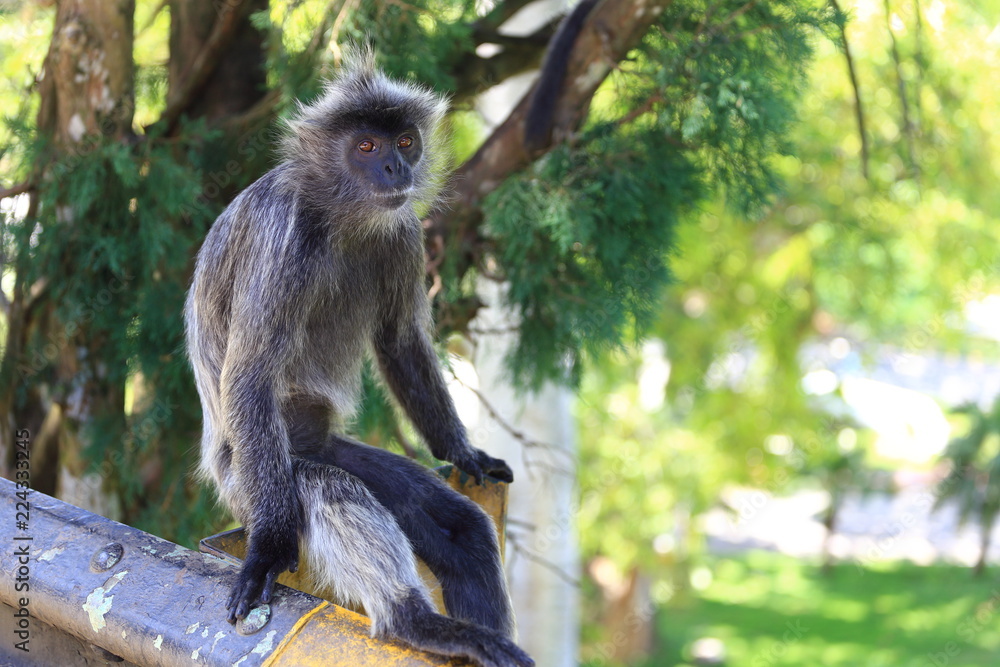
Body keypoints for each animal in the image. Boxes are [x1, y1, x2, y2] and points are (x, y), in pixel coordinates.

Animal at [184, 51, 536, 667]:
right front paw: (267, 552)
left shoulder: (402, 231)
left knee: (459, 528)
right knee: (328, 485)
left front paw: (462, 451)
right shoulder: (283, 237)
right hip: (250, 481)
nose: (395, 169)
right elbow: (250, 375)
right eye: (367, 147)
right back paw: (414, 621)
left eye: (405, 141)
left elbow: (399, 340)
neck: (339, 216)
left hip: (327, 448)